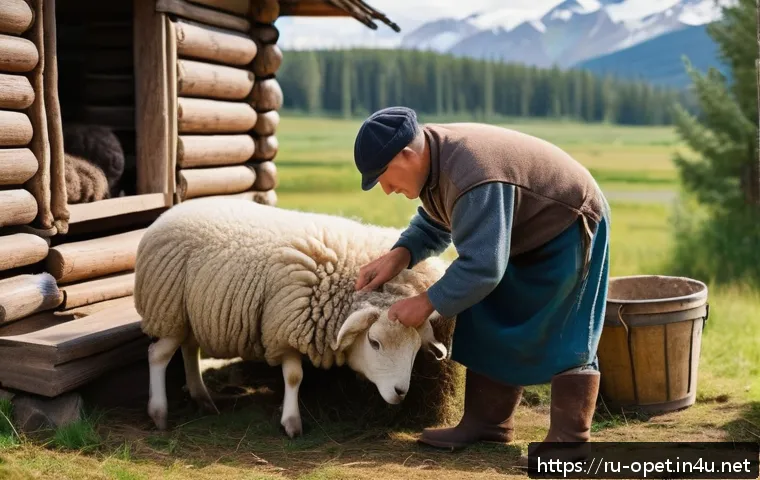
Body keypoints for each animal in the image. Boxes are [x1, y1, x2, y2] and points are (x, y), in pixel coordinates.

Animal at [134, 197, 452, 437]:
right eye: (374, 343)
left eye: (415, 349)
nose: (401, 392)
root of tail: (170, 212)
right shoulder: (283, 328)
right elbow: (294, 376)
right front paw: (292, 424)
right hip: (169, 308)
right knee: (158, 354)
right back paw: (159, 413)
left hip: (191, 314)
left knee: (189, 349)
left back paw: (202, 398)